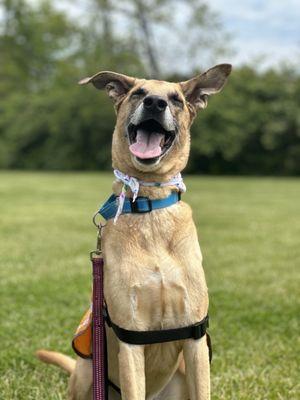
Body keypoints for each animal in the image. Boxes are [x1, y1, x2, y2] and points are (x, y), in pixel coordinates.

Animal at [37, 64, 232, 398]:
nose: (155, 103)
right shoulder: (131, 341)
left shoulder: (194, 340)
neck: (149, 206)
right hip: (87, 372)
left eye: (176, 99)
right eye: (138, 93)